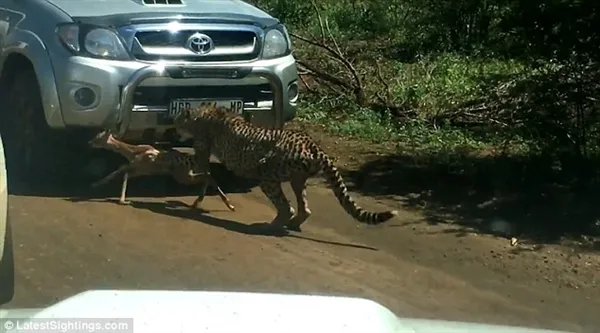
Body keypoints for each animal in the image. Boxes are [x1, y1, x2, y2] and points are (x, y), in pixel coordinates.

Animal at [89, 130, 234, 210]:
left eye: (98, 138)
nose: (89, 142)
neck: (132, 152)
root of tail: (190, 159)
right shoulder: (142, 170)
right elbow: (124, 172)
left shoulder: (141, 166)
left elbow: (122, 170)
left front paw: (122, 200)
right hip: (184, 174)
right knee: (208, 175)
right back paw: (196, 204)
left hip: (182, 176)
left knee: (208, 176)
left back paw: (228, 205)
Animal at [175, 105, 398, 231]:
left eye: (177, 120)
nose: (174, 128)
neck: (202, 113)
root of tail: (312, 144)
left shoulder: (202, 151)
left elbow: (193, 162)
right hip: (298, 178)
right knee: (304, 208)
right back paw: (292, 225)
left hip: (268, 177)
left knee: (286, 208)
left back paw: (270, 226)